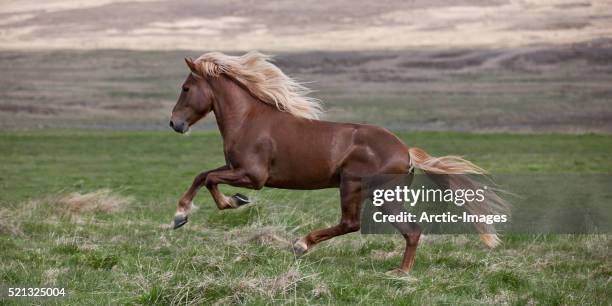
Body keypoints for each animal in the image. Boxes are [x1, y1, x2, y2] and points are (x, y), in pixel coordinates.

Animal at [169, 51, 506, 274]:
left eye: (185, 88)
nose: (174, 124)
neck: (249, 120)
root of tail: (406, 151)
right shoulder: (240, 172)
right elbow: (203, 176)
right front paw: (193, 212)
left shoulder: (253, 176)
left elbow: (207, 177)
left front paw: (207, 208)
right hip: (385, 197)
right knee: (410, 230)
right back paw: (400, 272)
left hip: (356, 187)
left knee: (354, 224)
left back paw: (304, 245)